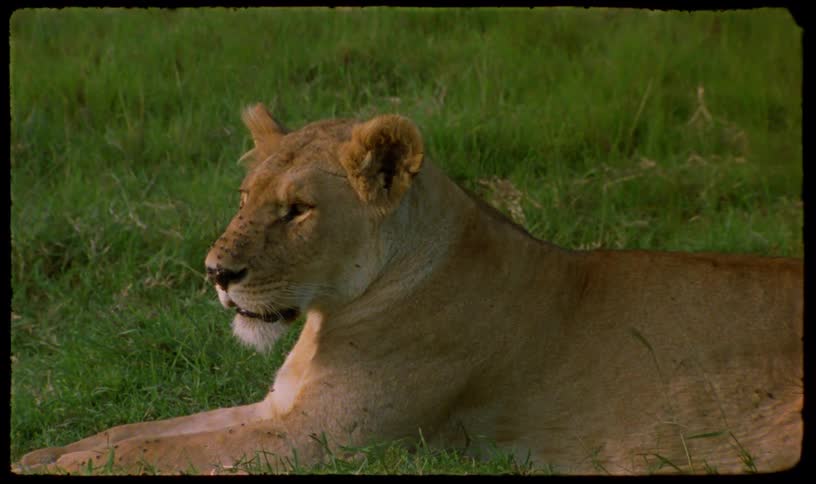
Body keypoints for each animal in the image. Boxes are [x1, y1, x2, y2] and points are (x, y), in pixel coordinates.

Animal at [17, 104, 803, 475]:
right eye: (245, 197)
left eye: (297, 210)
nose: (216, 274)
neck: (327, 318)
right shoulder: (281, 409)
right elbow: (140, 432)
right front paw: (45, 455)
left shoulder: (319, 442)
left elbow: (164, 453)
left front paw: (68, 469)